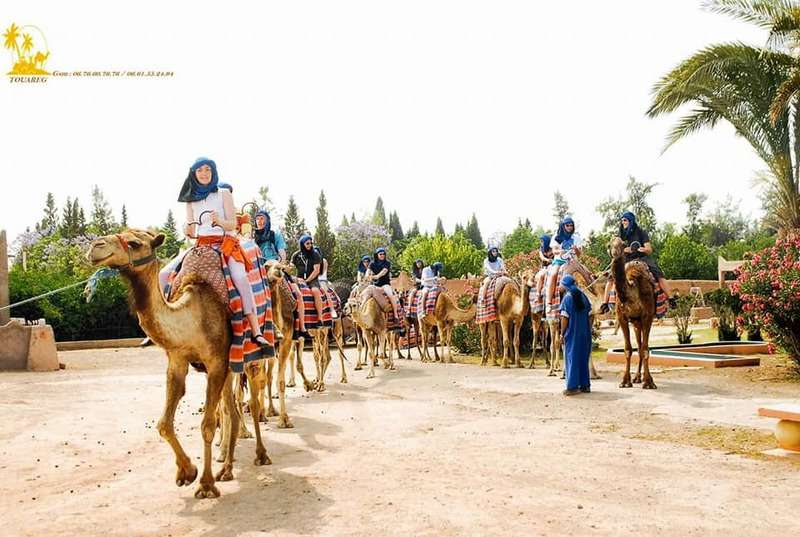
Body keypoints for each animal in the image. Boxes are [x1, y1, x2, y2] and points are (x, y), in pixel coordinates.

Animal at [86, 227, 268, 498]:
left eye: (134, 243)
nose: (95, 246)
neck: (190, 319)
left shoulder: (215, 363)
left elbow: (207, 425)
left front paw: (205, 484)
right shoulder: (178, 361)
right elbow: (164, 424)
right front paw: (187, 472)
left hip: (250, 358)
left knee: (253, 403)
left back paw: (261, 455)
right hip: (230, 365)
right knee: (232, 410)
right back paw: (226, 470)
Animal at [608, 237, 660, 388]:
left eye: (622, 245)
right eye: (609, 245)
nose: (614, 253)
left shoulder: (647, 316)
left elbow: (646, 349)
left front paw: (648, 382)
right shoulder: (622, 317)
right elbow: (628, 349)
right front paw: (625, 381)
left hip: (642, 320)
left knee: (643, 347)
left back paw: (644, 378)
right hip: (636, 323)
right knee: (638, 345)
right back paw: (637, 377)